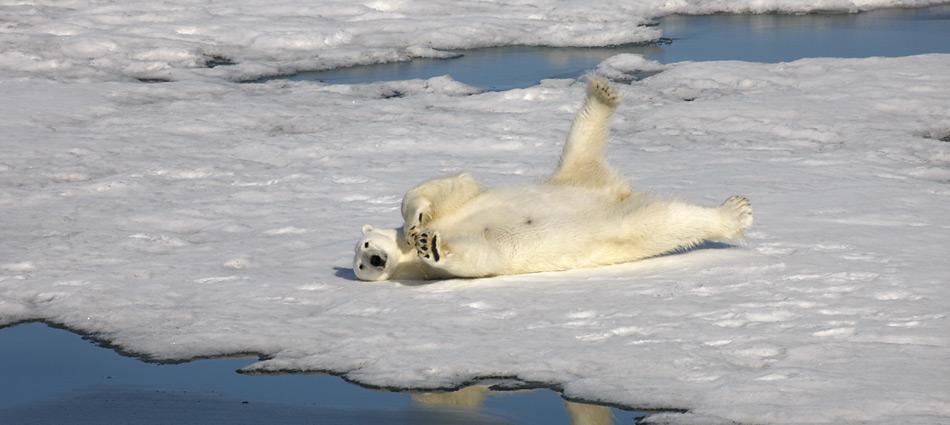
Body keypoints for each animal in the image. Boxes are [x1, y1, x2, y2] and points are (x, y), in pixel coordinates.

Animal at [354, 77, 756, 282]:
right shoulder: (437, 272)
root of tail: (614, 191)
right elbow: (482, 257)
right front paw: (431, 244)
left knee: (581, 138)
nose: (374, 259)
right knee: (667, 220)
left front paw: (417, 225)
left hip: (570, 177)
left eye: (366, 246)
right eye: (360, 265)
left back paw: (602, 91)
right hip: (620, 225)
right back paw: (734, 213)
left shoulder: (458, 204)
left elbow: (454, 186)